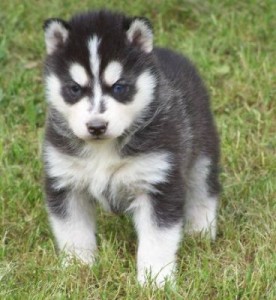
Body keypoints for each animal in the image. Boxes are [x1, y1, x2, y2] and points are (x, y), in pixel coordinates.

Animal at [42, 8, 220, 286]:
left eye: (119, 87)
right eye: (74, 88)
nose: (96, 126)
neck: (103, 149)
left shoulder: (158, 182)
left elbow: (157, 239)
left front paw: (156, 281)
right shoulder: (65, 181)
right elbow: (73, 232)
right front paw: (78, 269)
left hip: (202, 150)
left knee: (203, 188)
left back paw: (200, 229)